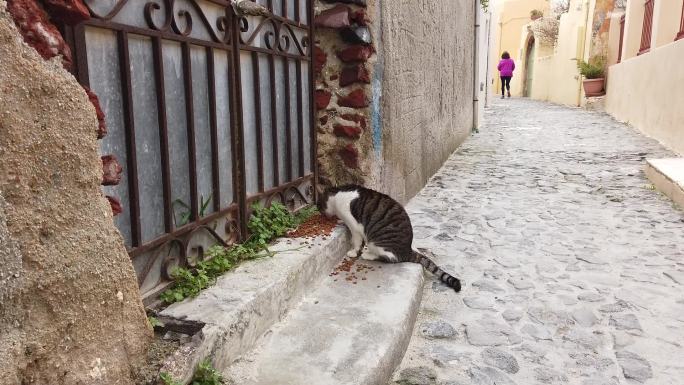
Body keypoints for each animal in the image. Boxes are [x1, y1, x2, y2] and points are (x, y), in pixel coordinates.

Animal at [318, 184, 462, 292]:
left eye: (320, 205)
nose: (321, 213)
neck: (337, 192)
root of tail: (407, 250)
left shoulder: (355, 227)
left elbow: (357, 241)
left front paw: (353, 252)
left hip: (376, 243)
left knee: (389, 258)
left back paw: (368, 255)